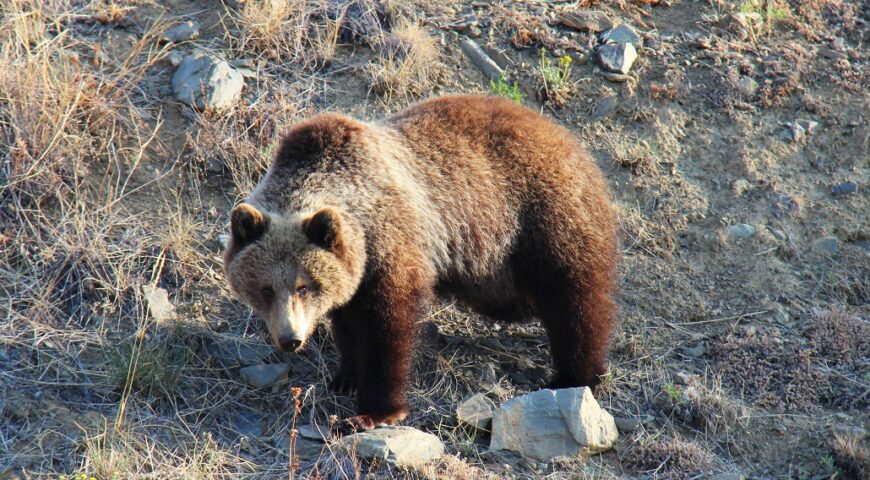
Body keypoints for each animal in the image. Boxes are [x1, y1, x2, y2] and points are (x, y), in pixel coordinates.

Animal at [223, 95, 618, 432]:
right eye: (265, 289)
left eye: (304, 286)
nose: (290, 338)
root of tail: (564, 134)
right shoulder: (354, 273)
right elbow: (349, 324)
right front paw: (346, 376)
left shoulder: (394, 245)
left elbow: (389, 330)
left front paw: (374, 411)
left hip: (541, 216)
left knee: (574, 299)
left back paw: (575, 374)